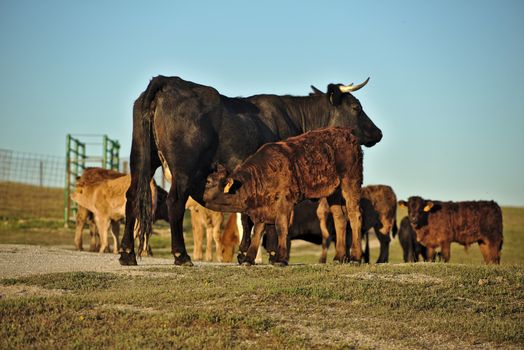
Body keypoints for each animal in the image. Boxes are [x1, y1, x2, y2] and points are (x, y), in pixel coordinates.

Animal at [203, 126, 362, 266]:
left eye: (208, 181)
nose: (200, 195)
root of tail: (346, 132)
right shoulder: (262, 208)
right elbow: (257, 231)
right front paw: (248, 259)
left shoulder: (285, 201)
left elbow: (280, 227)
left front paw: (280, 259)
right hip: (333, 191)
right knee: (340, 218)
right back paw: (339, 257)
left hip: (351, 180)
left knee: (354, 215)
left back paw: (355, 257)